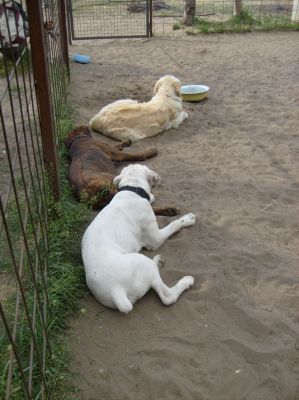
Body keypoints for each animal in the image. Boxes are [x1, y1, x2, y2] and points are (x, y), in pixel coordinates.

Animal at [81, 164, 197, 314]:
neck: (131, 190)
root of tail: (116, 291)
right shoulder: (155, 239)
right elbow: (174, 224)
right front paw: (186, 220)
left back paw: (157, 261)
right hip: (142, 262)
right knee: (167, 296)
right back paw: (185, 280)